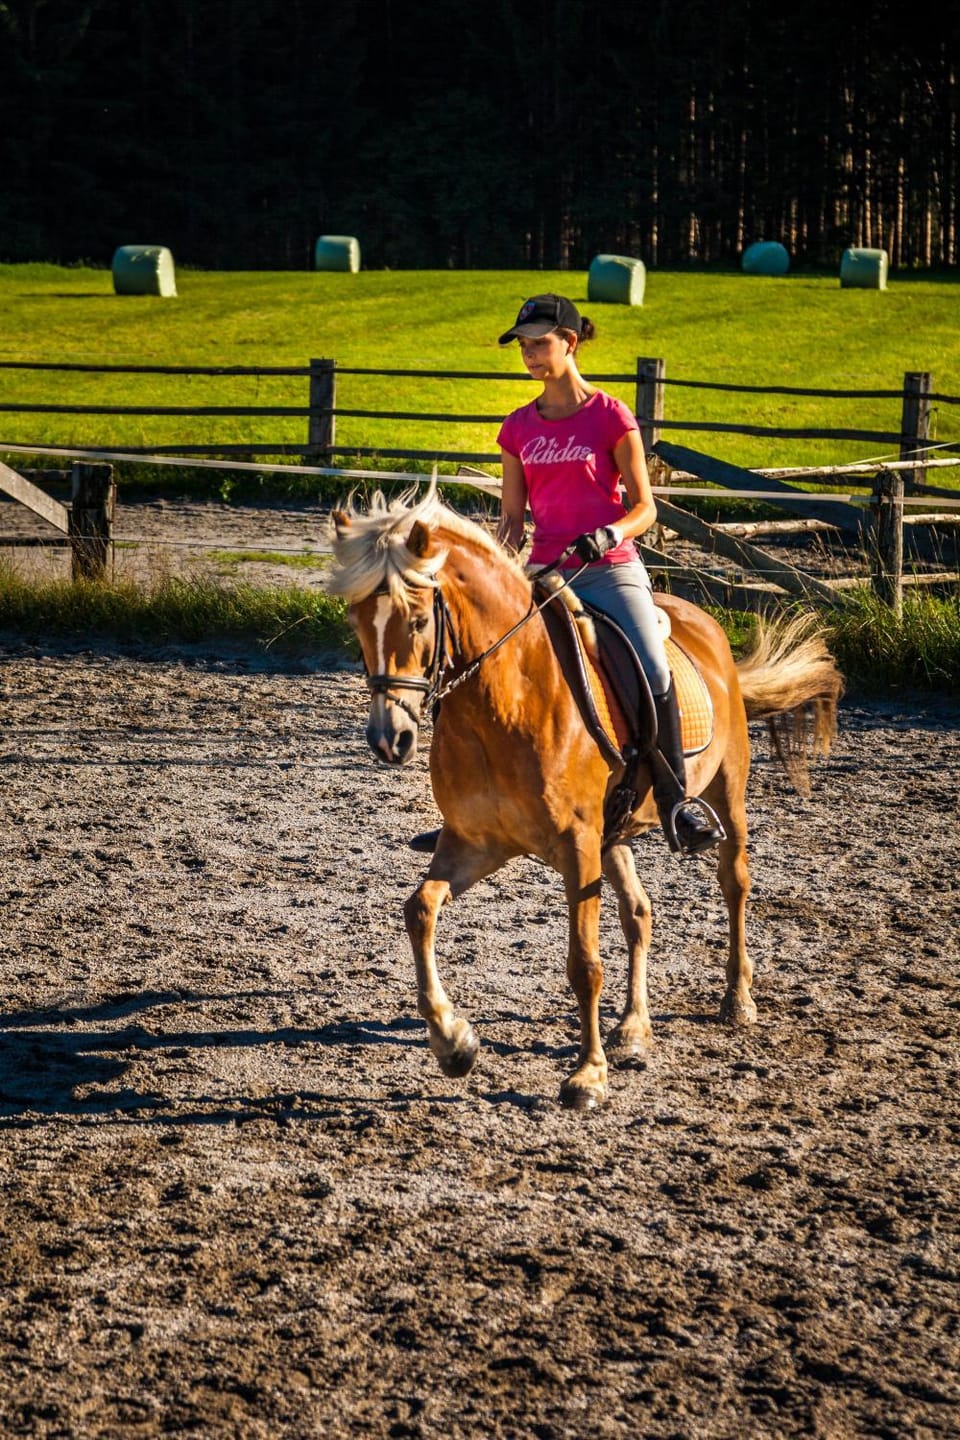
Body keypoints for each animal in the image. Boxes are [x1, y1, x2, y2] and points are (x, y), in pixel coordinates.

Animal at [328, 481, 843, 1110]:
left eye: (419, 619)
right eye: (356, 620)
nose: (389, 739)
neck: (503, 701)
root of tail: (704, 621)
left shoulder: (575, 846)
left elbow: (583, 964)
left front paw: (587, 1076)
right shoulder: (476, 842)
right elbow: (419, 911)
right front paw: (454, 1043)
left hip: (725, 795)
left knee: (735, 886)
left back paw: (737, 999)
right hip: (613, 834)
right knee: (640, 913)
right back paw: (633, 1028)